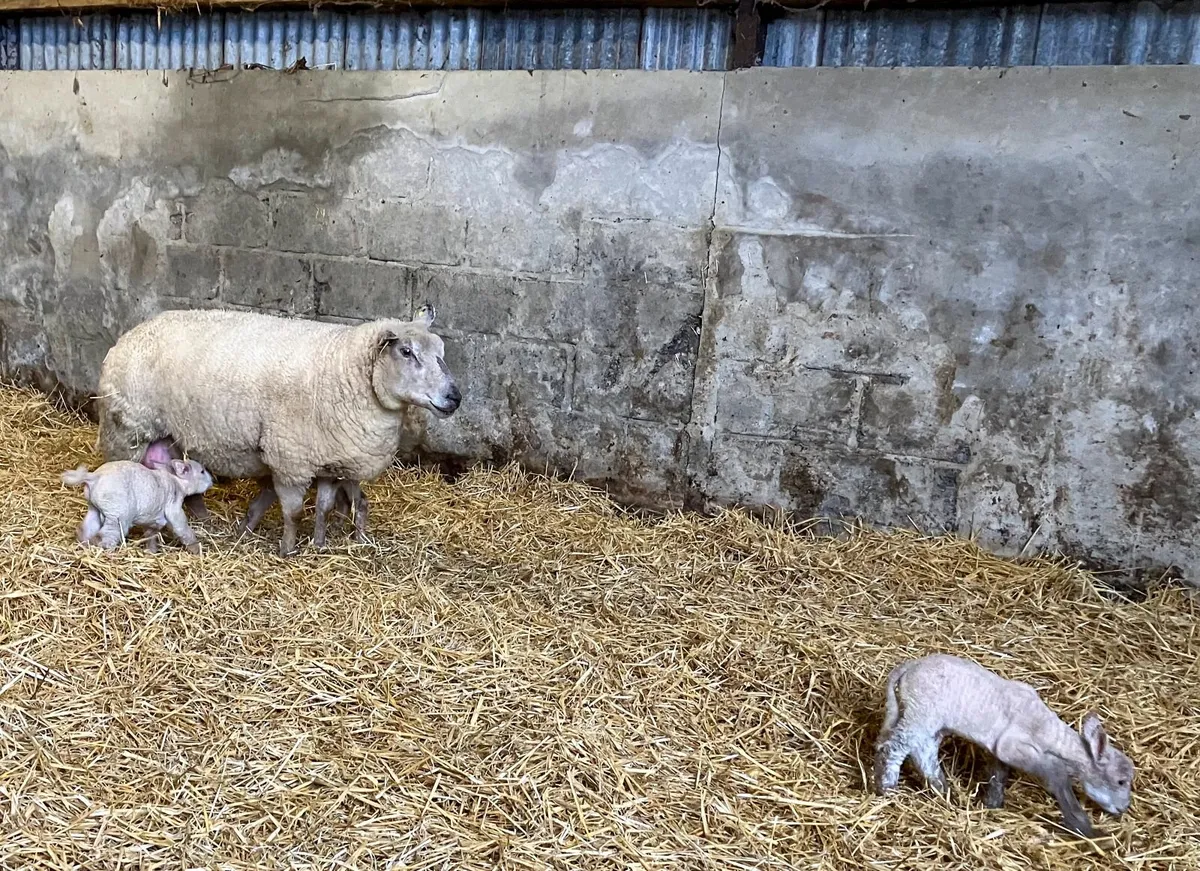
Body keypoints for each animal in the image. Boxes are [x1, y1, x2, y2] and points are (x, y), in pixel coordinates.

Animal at [62, 458, 214, 553]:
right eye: (202, 471)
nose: (212, 480)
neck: (176, 481)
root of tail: (95, 477)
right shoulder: (174, 509)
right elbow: (183, 530)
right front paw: (197, 550)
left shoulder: (152, 520)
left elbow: (151, 534)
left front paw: (152, 551)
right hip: (117, 515)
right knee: (105, 537)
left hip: (94, 508)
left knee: (85, 529)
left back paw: (84, 544)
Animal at [96, 304, 461, 556]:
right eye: (407, 352)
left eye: (442, 352)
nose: (454, 397)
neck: (344, 368)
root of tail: (131, 333)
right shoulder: (290, 458)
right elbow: (294, 511)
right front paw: (288, 549)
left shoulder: (327, 460)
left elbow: (324, 505)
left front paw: (319, 543)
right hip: (127, 431)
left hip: (170, 434)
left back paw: (204, 519)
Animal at [872, 653, 1134, 838]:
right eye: (1121, 781)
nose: (1124, 808)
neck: (1046, 729)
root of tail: (909, 667)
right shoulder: (1013, 745)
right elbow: (1056, 773)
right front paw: (1084, 827)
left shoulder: (999, 749)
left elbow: (999, 774)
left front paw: (992, 804)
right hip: (921, 712)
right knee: (895, 747)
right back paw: (886, 788)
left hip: (926, 719)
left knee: (919, 751)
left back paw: (943, 791)